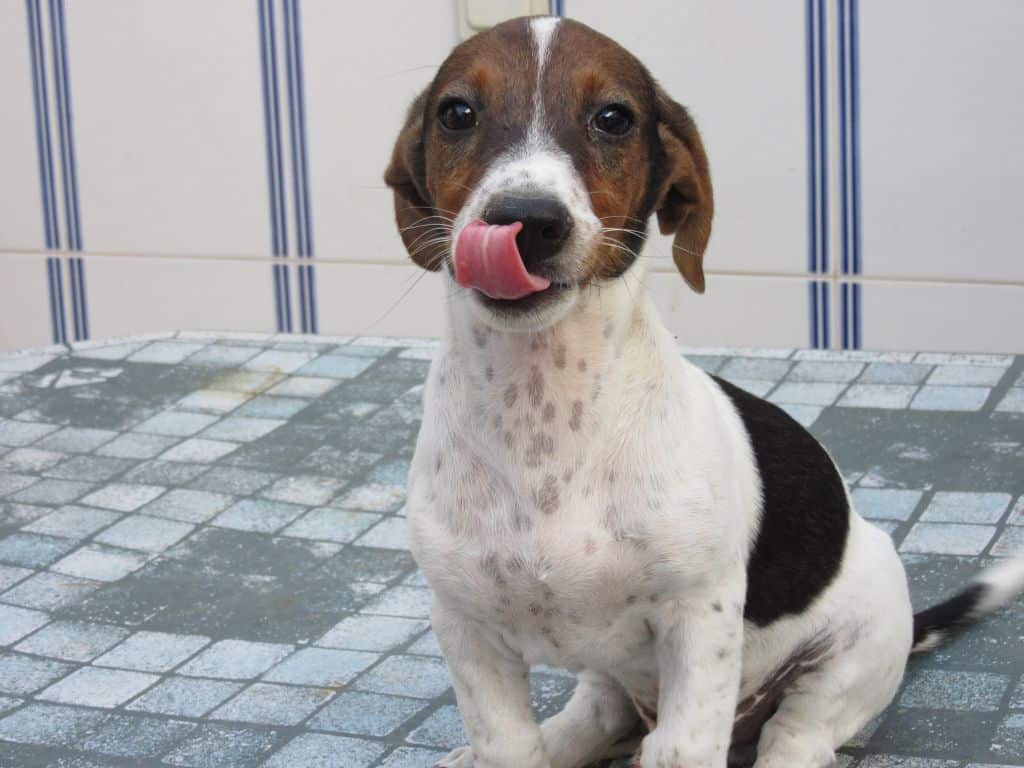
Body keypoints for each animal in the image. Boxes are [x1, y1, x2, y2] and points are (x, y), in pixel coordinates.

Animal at [384, 16, 1024, 768]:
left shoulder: (699, 617)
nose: (526, 219)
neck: (543, 415)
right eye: (457, 113)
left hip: (848, 654)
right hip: (607, 678)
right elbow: (509, 747)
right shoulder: (464, 627)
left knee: (794, 736)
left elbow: (684, 745)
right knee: (594, 718)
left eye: (613, 118)